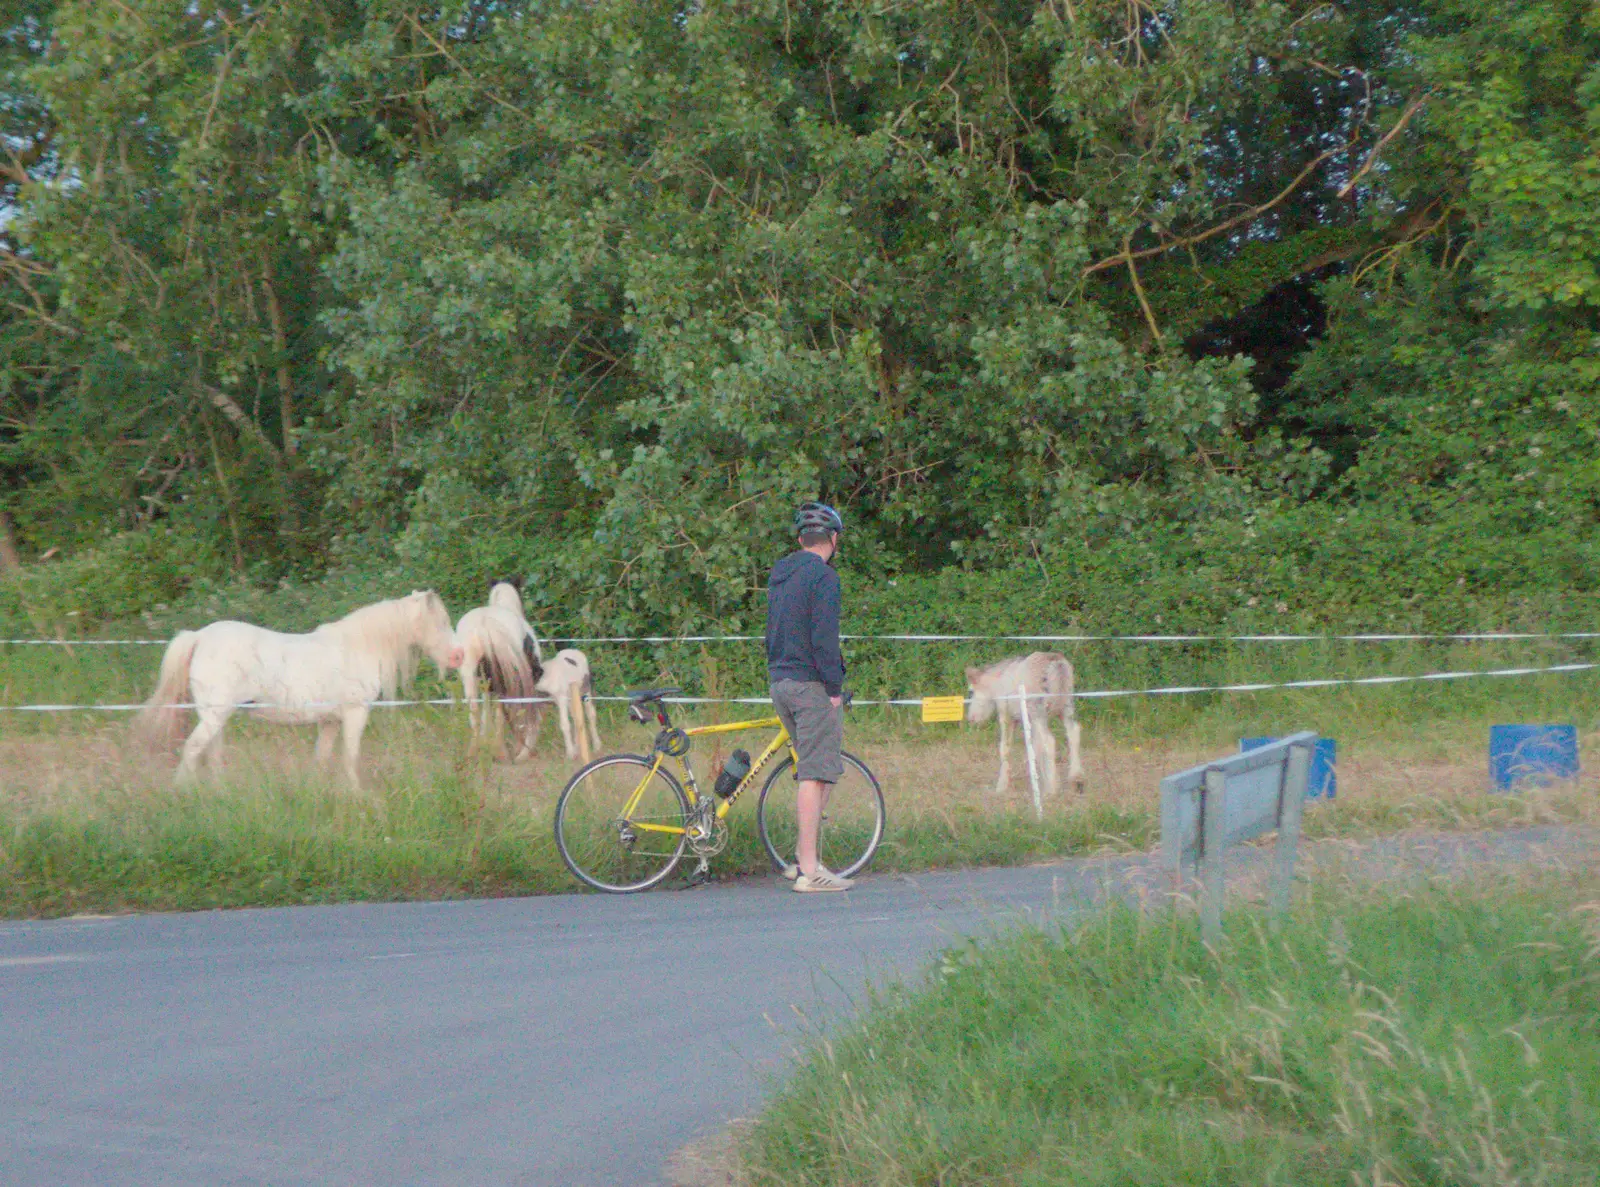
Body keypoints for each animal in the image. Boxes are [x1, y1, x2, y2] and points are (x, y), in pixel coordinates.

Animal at [138, 591, 467, 790]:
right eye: (440, 622)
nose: (458, 656)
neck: (358, 646)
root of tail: (199, 637)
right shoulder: (355, 714)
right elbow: (350, 757)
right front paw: (358, 797)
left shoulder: (330, 721)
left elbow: (322, 759)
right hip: (215, 716)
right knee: (193, 751)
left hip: (216, 718)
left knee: (211, 756)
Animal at [960, 649, 1088, 799]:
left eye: (971, 692)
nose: (971, 718)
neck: (998, 684)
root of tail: (1057, 663)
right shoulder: (1028, 720)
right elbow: (1036, 748)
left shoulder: (1007, 715)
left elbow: (1005, 747)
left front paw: (1001, 786)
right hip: (1066, 708)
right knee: (1073, 733)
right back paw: (1077, 781)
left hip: (1039, 711)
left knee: (1049, 741)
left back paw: (1052, 789)